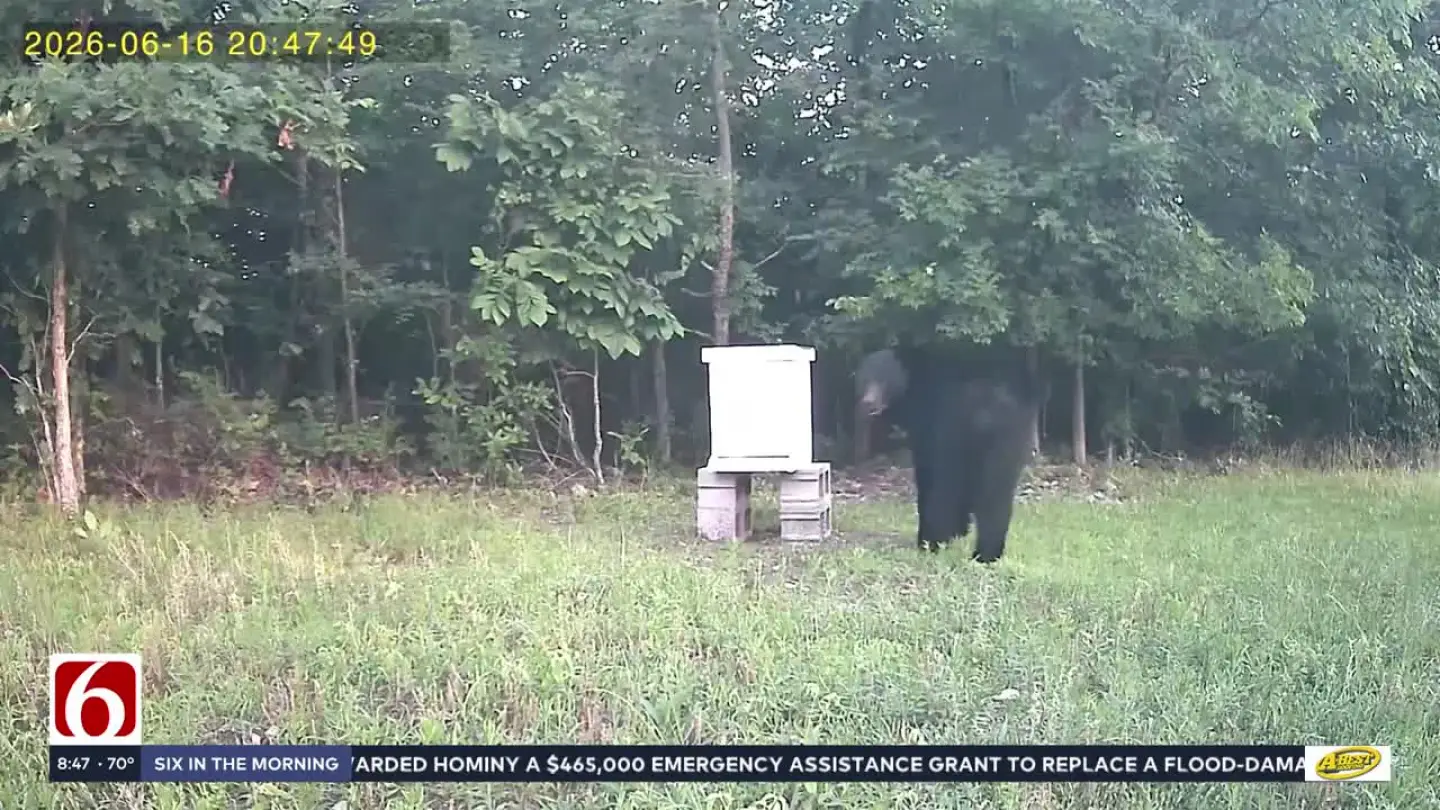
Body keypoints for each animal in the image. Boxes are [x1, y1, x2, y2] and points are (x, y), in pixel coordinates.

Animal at [855, 342, 1041, 562]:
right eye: (864, 380)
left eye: (884, 380)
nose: (869, 402)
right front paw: (961, 529)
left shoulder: (930, 424)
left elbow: (928, 472)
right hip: (1010, 440)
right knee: (996, 493)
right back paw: (987, 553)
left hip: (957, 432)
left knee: (948, 486)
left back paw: (933, 541)